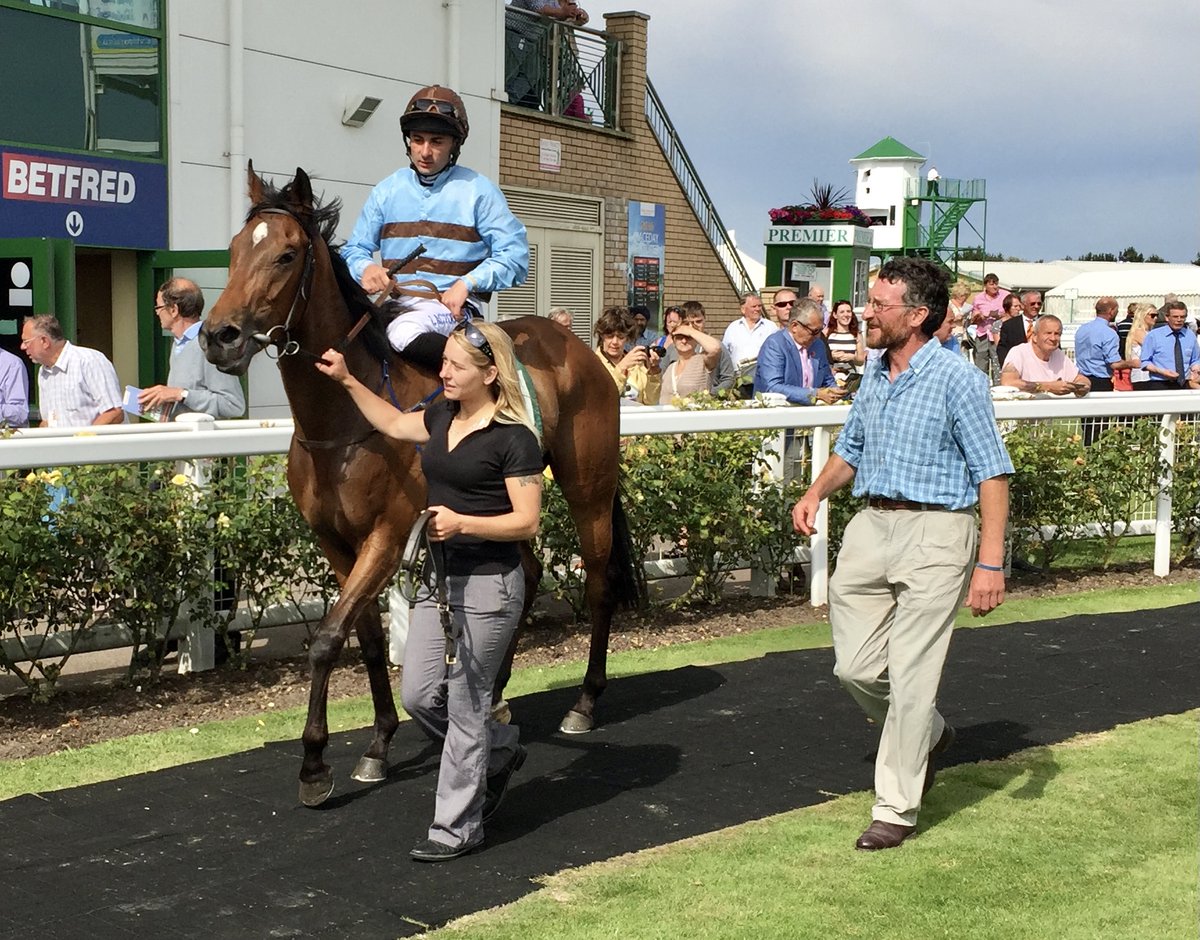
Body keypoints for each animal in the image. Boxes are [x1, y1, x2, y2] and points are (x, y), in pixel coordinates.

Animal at [201, 163, 643, 806]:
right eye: (234, 251)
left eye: (285, 254)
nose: (219, 336)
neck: (341, 424)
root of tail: (583, 351)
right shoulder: (335, 542)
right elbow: (361, 636)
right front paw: (380, 742)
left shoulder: (389, 536)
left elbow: (326, 639)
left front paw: (315, 764)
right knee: (528, 573)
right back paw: (495, 692)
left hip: (588, 488)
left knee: (600, 583)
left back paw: (584, 701)